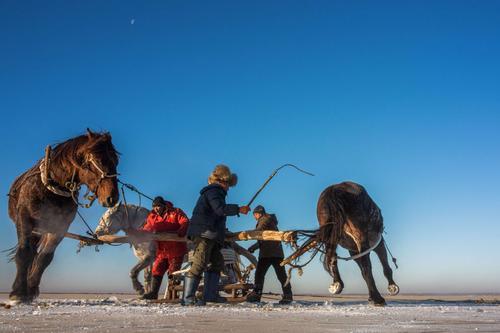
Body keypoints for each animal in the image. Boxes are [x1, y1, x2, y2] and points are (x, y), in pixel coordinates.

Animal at [7, 129, 119, 300]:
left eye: (116, 161)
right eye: (97, 160)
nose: (112, 197)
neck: (52, 188)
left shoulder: (59, 227)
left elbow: (44, 258)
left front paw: (31, 289)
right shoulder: (25, 219)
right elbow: (24, 252)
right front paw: (18, 292)